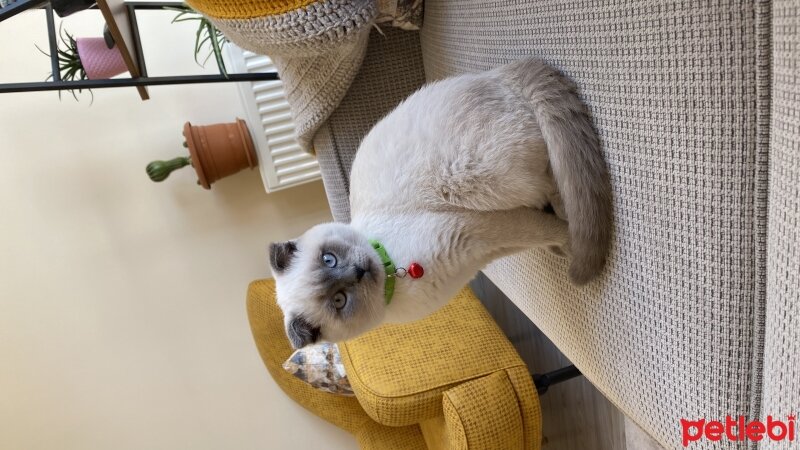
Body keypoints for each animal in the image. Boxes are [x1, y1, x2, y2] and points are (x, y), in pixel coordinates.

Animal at [268, 58, 612, 350]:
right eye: (339, 300)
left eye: (329, 259)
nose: (359, 270)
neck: (395, 271)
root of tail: (494, 74)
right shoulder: (486, 243)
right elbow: (538, 234)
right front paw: (561, 245)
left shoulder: (479, 226)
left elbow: (547, 229)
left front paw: (568, 244)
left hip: (482, 180)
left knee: (555, 182)